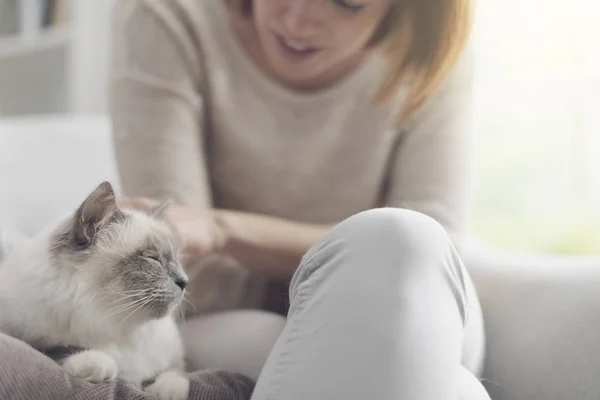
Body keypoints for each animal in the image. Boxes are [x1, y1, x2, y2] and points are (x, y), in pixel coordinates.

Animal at [0, 182, 190, 400]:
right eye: (152, 258)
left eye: (176, 259)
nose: (185, 281)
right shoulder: (25, 336)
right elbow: (56, 350)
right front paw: (98, 364)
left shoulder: (174, 357)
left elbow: (176, 374)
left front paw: (164, 391)